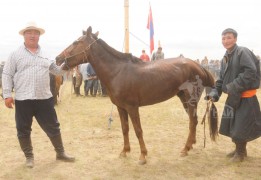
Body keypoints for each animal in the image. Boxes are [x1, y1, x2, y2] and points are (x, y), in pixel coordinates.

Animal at [55, 26, 217, 165]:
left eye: (76, 42)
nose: (57, 58)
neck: (118, 71)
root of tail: (199, 66)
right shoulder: (121, 108)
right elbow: (125, 129)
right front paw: (124, 152)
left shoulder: (132, 107)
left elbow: (138, 131)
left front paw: (143, 156)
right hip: (183, 98)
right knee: (193, 120)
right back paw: (189, 146)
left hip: (190, 100)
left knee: (192, 121)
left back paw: (185, 148)